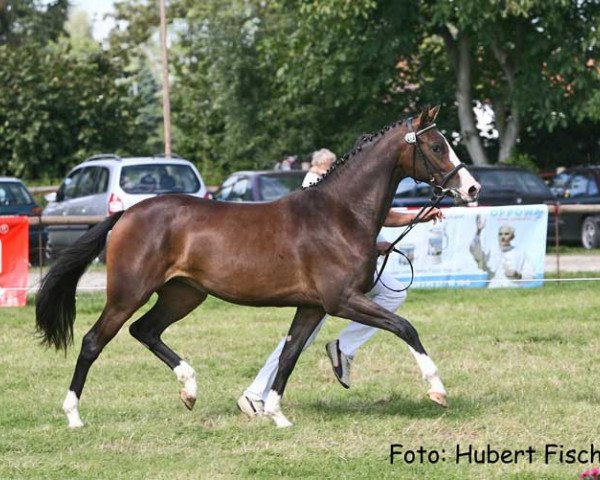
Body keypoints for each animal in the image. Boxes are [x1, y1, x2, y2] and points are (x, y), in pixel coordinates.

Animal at [36, 106, 478, 428]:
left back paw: (189, 390)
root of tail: (126, 214)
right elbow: (405, 327)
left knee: (144, 330)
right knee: (94, 341)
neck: (339, 214)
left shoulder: (312, 306)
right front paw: (437, 390)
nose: (471, 188)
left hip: (183, 294)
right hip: (128, 293)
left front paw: (275, 414)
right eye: (436, 146)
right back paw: (74, 416)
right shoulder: (342, 300)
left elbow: (289, 354)